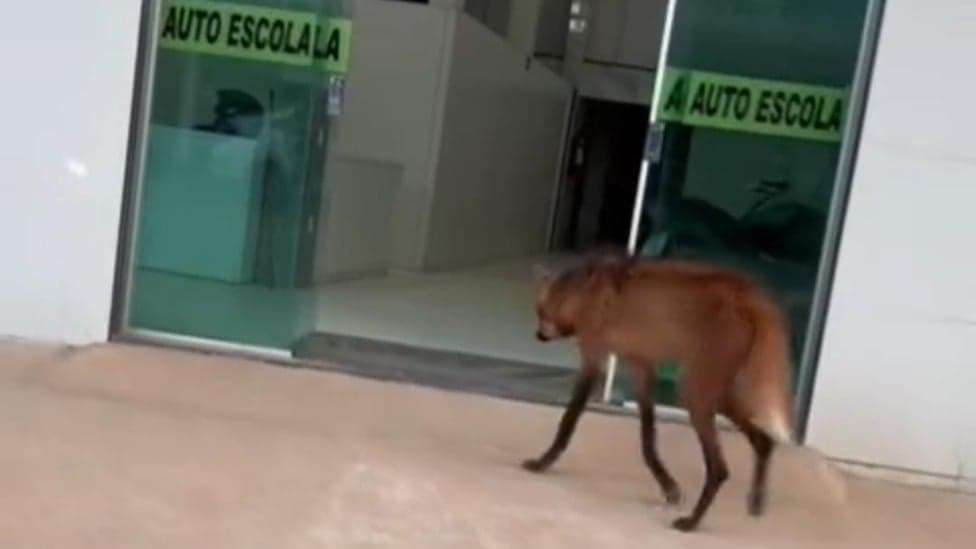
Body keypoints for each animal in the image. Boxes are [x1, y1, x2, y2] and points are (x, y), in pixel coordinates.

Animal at [524, 255, 788, 532]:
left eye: (540, 311)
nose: (538, 335)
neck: (579, 295)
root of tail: (746, 291)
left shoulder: (594, 358)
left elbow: (569, 419)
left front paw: (542, 462)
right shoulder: (642, 366)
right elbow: (648, 438)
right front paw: (669, 487)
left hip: (694, 391)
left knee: (719, 469)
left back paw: (691, 522)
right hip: (715, 392)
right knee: (764, 440)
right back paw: (756, 501)